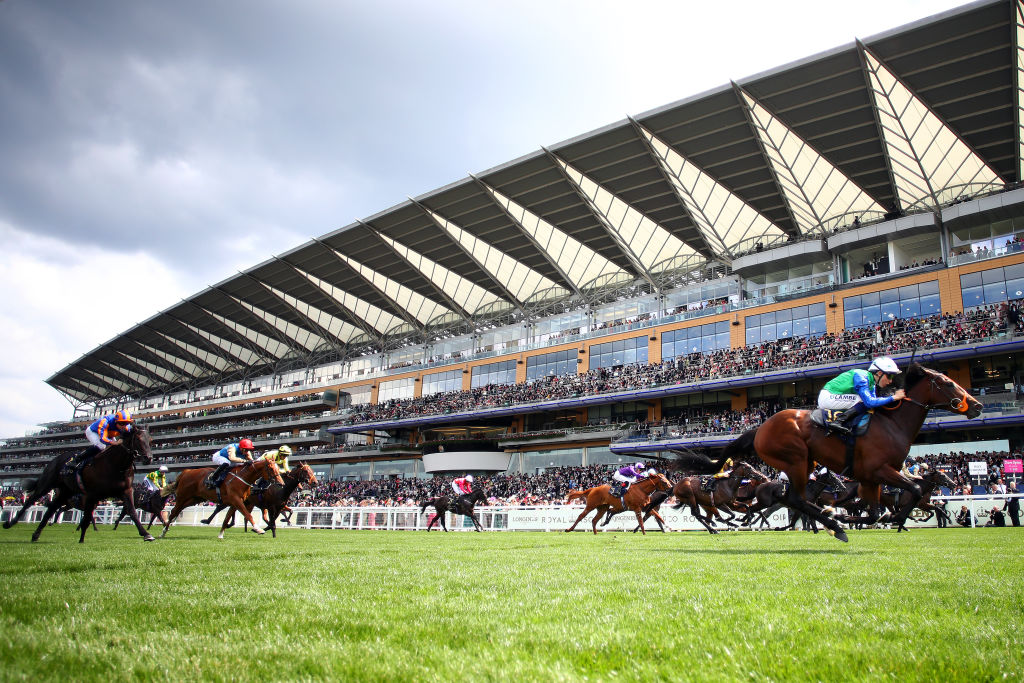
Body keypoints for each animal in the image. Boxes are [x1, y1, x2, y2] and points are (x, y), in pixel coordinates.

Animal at [1, 428, 153, 544]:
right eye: (138, 440)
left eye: (150, 440)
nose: (149, 458)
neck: (116, 465)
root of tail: (57, 458)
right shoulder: (92, 494)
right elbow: (87, 518)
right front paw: (81, 539)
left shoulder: (126, 490)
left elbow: (132, 511)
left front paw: (146, 534)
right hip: (47, 484)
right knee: (30, 501)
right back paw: (10, 523)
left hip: (65, 492)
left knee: (52, 509)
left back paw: (36, 534)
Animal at [675, 366, 978, 540]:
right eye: (947, 383)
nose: (975, 406)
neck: (891, 424)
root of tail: (760, 428)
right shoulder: (880, 470)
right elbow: (912, 491)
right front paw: (892, 519)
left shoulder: (871, 479)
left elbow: (876, 511)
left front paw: (884, 519)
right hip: (795, 459)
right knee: (794, 499)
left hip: (803, 463)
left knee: (792, 503)